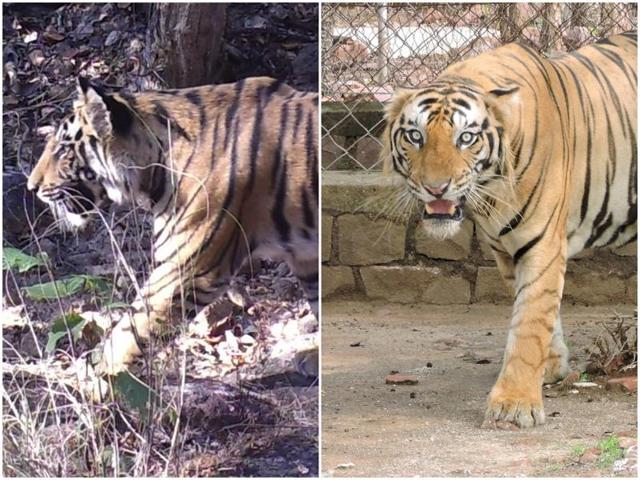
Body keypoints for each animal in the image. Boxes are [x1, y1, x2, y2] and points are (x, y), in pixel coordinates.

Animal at [27, 76, 319, 383]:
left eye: (62, 150)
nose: (32, 187)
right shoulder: (306, 257)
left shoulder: (187, 268)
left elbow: (129, 330)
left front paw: (96, 380)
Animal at [381, 31, 636, 428]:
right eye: (415, 136)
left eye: (466, 138)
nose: (436, 188)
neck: (490, 189)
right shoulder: (505, 249)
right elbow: (534, 310)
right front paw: (551, 366)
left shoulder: (542, 243)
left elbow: (530, 321)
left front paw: (515, 403)